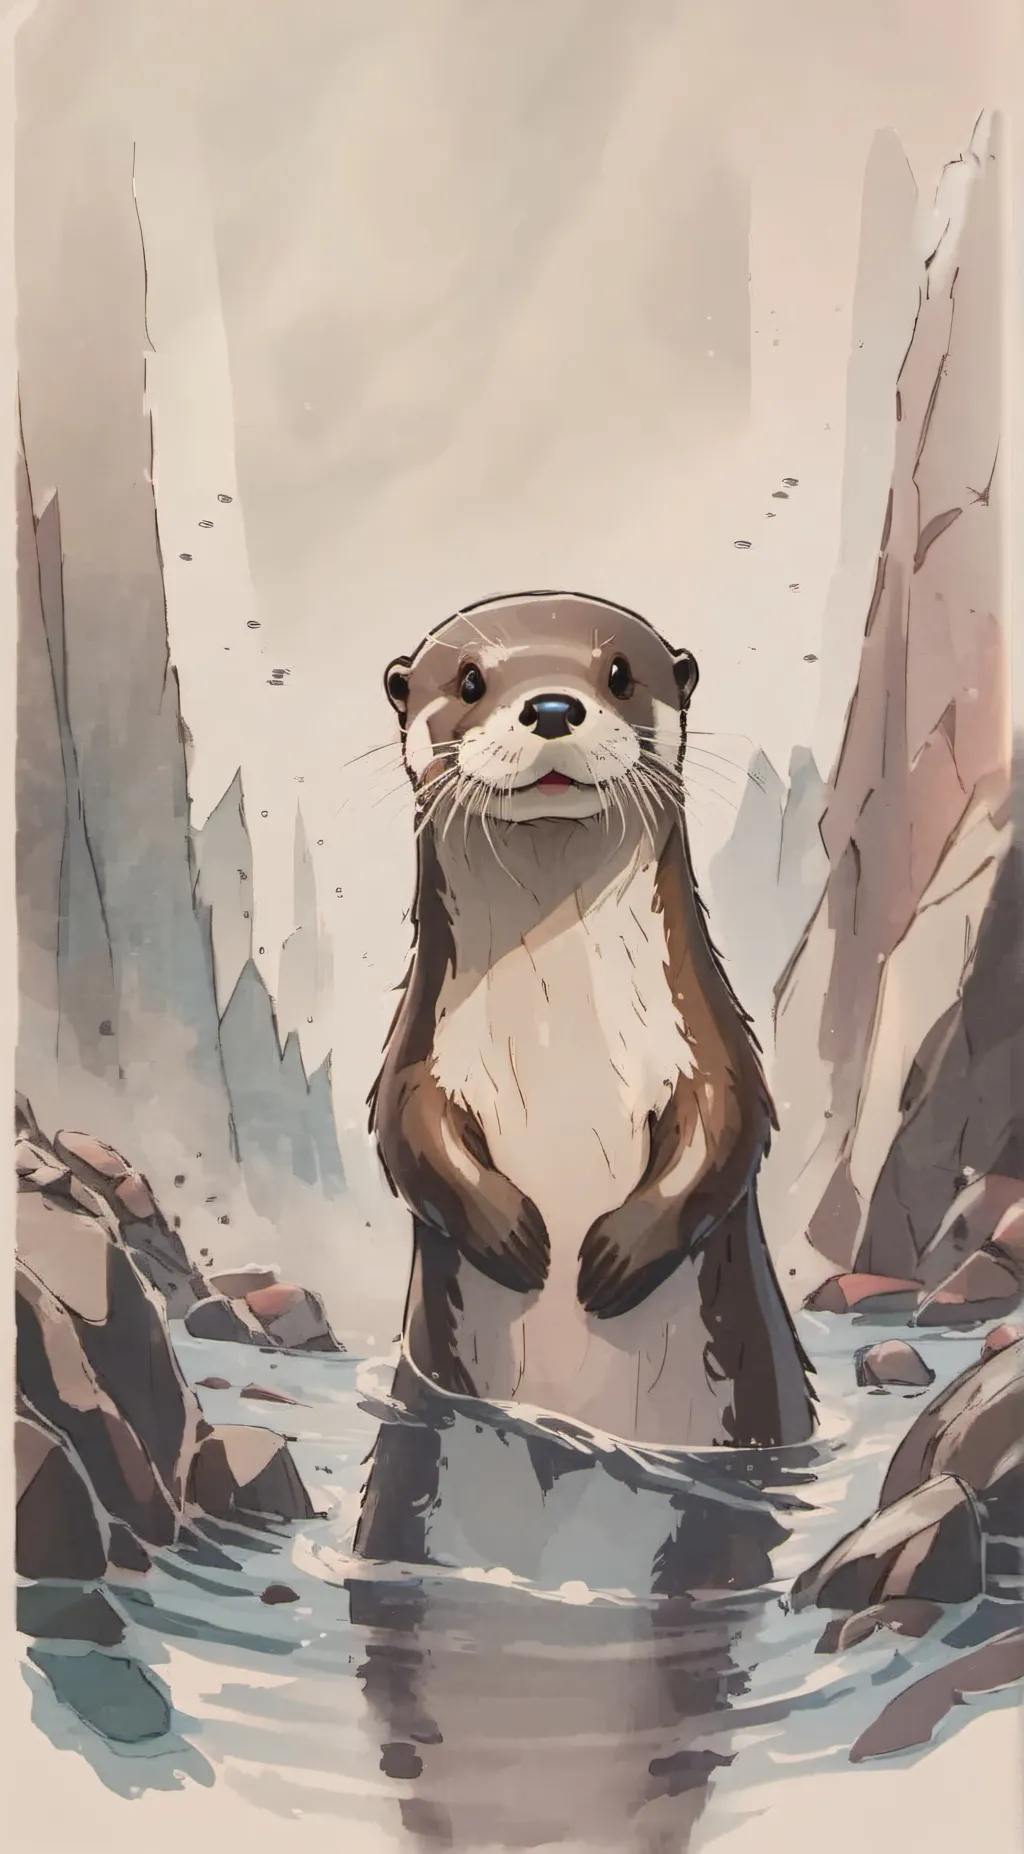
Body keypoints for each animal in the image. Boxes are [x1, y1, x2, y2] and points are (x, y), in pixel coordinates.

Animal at [368, 591, 814, 1448]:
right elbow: (407, 1136)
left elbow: (729, 1123)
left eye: (619, 674)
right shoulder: (419, 1054)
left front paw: (613, 1256)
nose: (550, 705)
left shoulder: (705, 1035)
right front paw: (516, 1238)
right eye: (469, 681)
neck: (560, 1042)